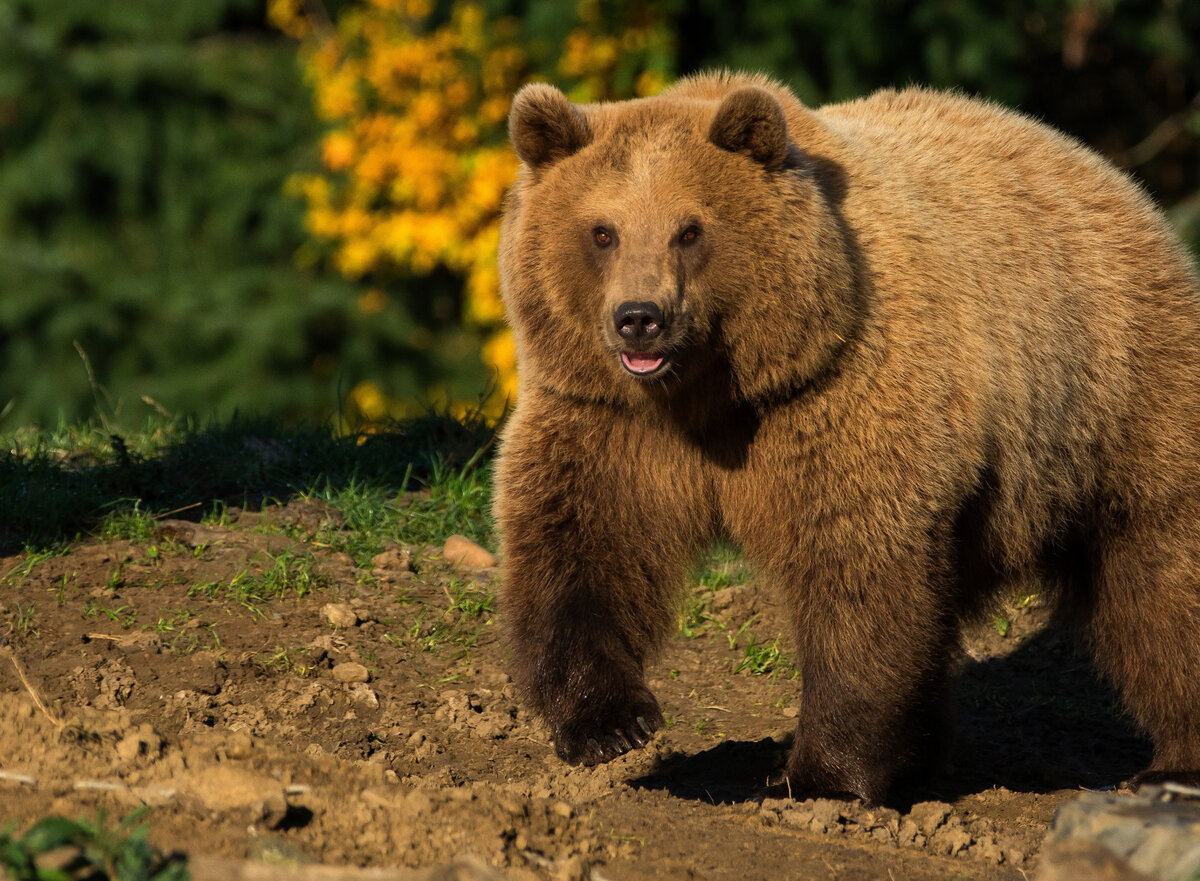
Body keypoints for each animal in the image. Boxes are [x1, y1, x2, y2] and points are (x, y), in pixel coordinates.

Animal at [489, 72, 1200, 801]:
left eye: (690, 229)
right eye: (601, 231)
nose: (640, 318)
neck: (712, 393)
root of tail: (1108, 174)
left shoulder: (836, 400)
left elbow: (857, 569)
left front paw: (819, 775)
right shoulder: (607, 420)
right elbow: (581, 545)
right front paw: (609, 725)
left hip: (1117, 396)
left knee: (1162, 578)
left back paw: (1173, 762)